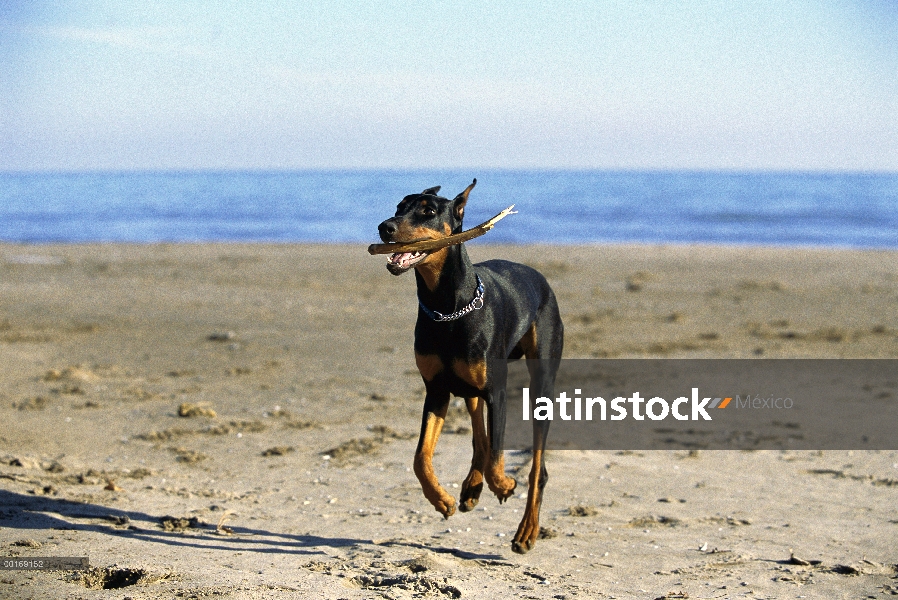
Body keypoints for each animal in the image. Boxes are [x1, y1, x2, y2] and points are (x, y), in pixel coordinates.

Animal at [376, 178, 560, 552]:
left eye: (428, 211)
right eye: (399, 207)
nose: (384, 227)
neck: (447, 305)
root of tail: (540, 278)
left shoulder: (497, 391)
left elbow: (497, 457)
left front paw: (504, 485)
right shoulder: (436, 390)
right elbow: (420, 458)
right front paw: (441, 500)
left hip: (541, 380)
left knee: (537, 468)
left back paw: (526, 530)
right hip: (468, 384)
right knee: (479, 434)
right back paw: (470, 489)